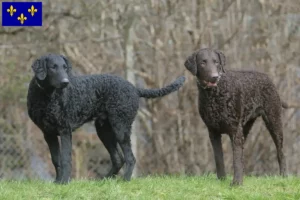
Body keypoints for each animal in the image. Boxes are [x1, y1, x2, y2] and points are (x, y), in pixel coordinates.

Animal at [27, 54, 185, 184]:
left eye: (65, 67)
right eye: (53, 67)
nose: (66, 82)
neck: (48, 97)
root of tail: (134, 88)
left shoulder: (65, 130)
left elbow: (65, 158)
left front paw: (64, 182)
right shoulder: (48, 133)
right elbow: (56, 159)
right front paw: (57, 182)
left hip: (121, 127)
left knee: (130, 158)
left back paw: (125, 180)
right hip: (104, 131)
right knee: (118, 159)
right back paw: (105, 180)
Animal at [185, 48, 286, 186]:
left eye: (216, 62)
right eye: (203, 63)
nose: (215, 77)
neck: (214, 95)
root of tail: (266, 77)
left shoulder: (234, 131)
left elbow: (236, 159)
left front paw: (237, 183)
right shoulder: (213, 132)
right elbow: (219, 158)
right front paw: (222, 179)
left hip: (274, 120)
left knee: (280, 151)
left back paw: (284, 176)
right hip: (245, 127)